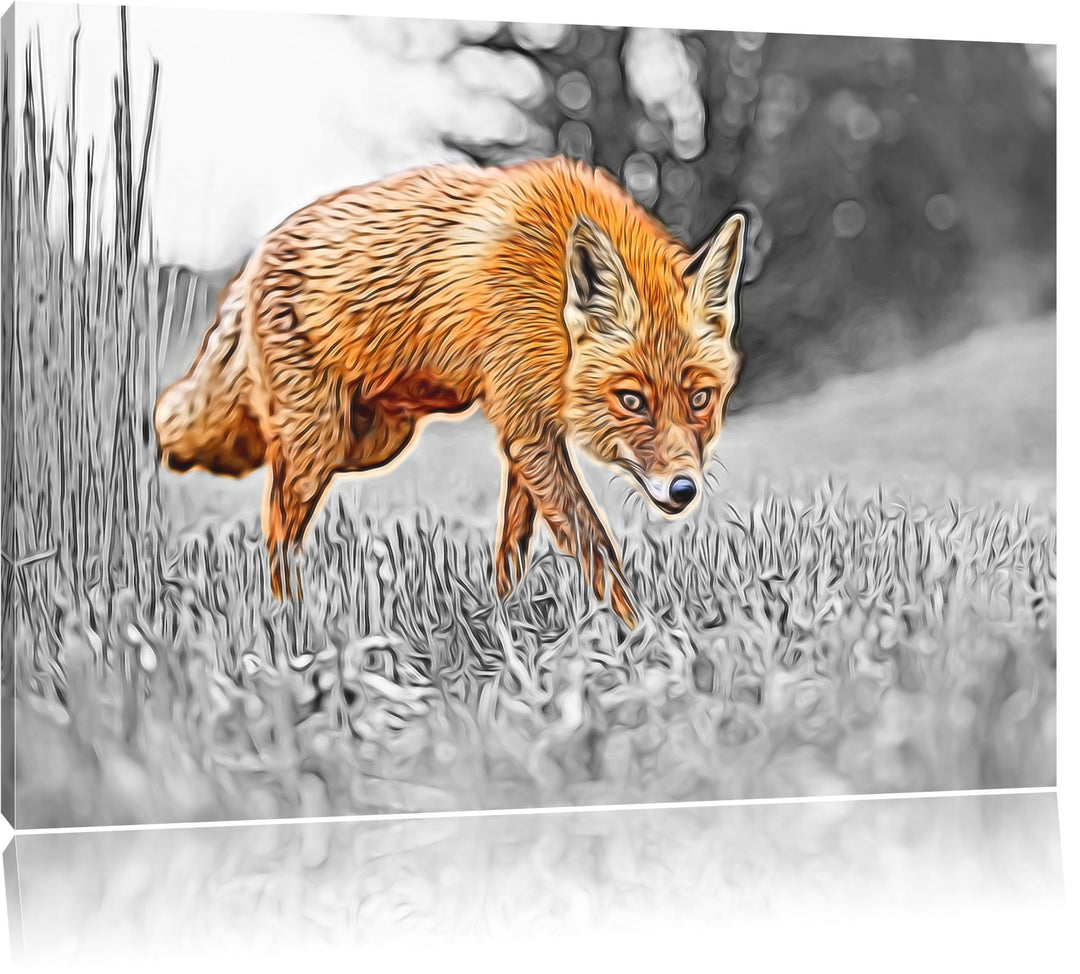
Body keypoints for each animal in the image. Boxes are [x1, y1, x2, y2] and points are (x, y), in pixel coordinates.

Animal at [155, 155, 748, 629]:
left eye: (700, 399)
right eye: (631, 400)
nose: (683, 490)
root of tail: (256, 253)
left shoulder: (526, 430)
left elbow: (513, 546)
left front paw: (507, 619)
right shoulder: (528, 429)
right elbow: (593, 542)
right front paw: (642, 638)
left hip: (371, 440)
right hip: (320, 447)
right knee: (277, 529)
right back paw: (289, 620)